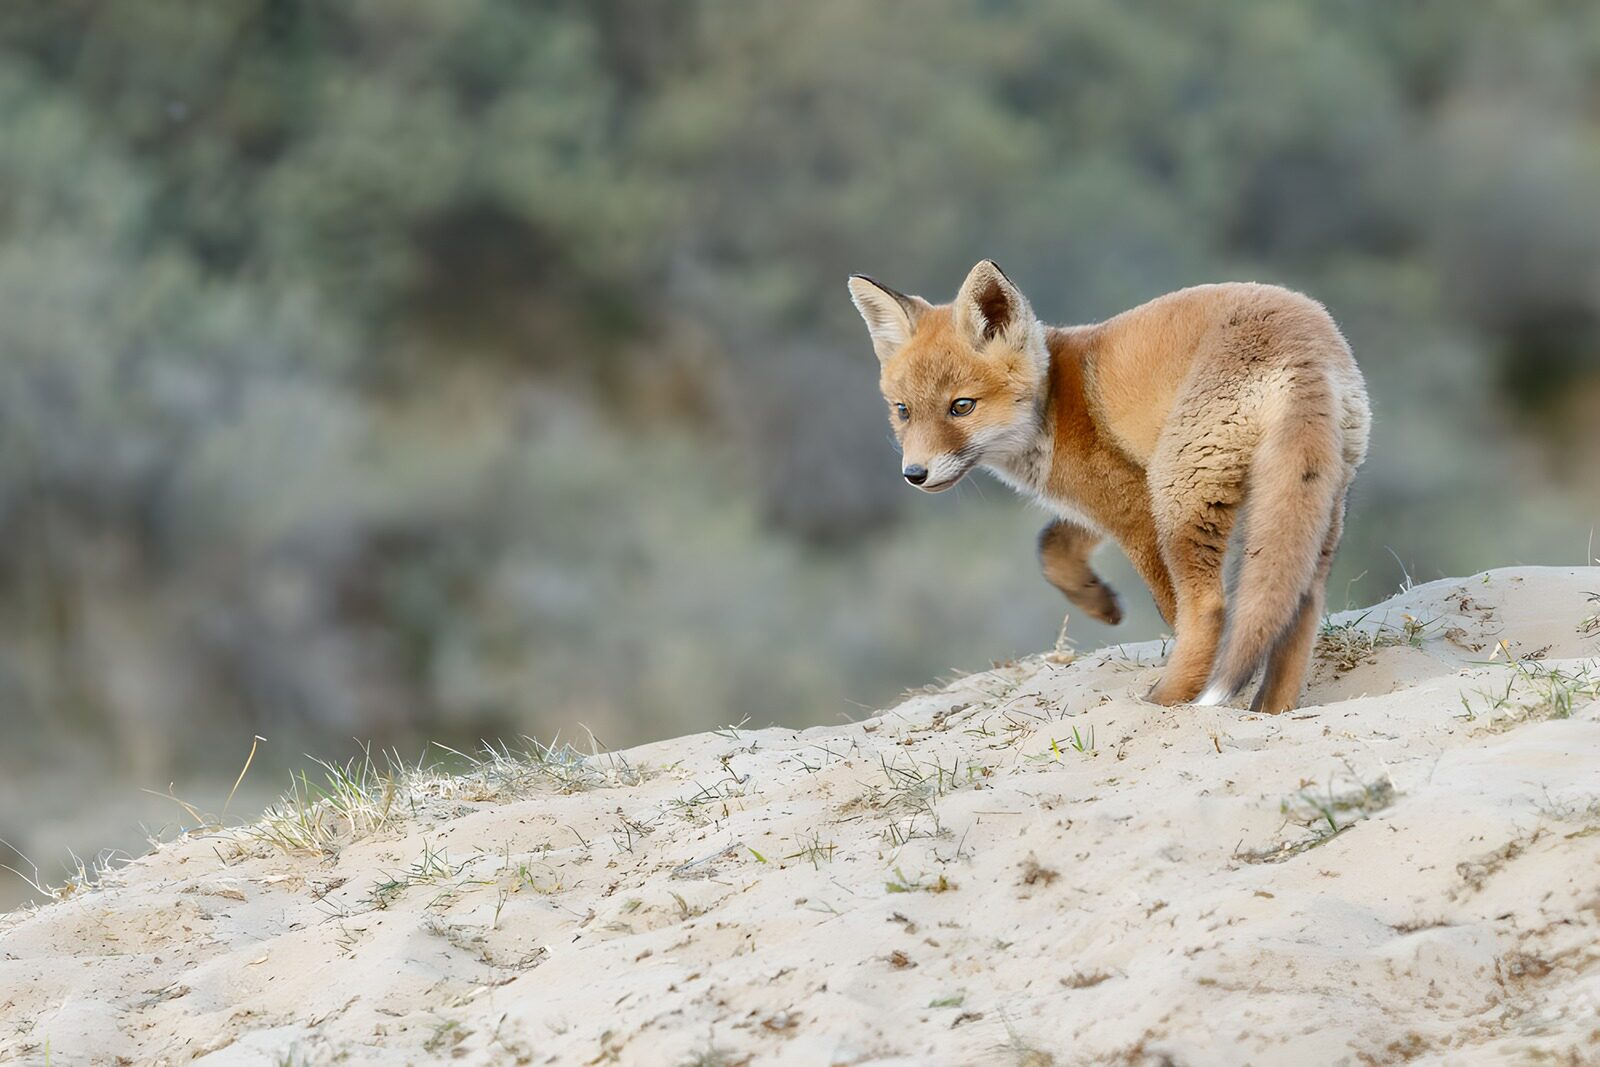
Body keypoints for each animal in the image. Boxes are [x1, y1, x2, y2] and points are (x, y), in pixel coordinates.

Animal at [847, 260, 1370, 714]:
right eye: (902, 411)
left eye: (961, 407)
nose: (914, 474)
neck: (1052, 403)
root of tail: (1303, 343)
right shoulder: (1104, 495)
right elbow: (1051, 545)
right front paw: (1095, 600)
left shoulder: (1133, 503)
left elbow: (1168, 606)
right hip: (1311, 505)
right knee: (1301, 604)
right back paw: (1271, 709)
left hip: (1179, 497)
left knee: (1208, 607)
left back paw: (1168, 699)